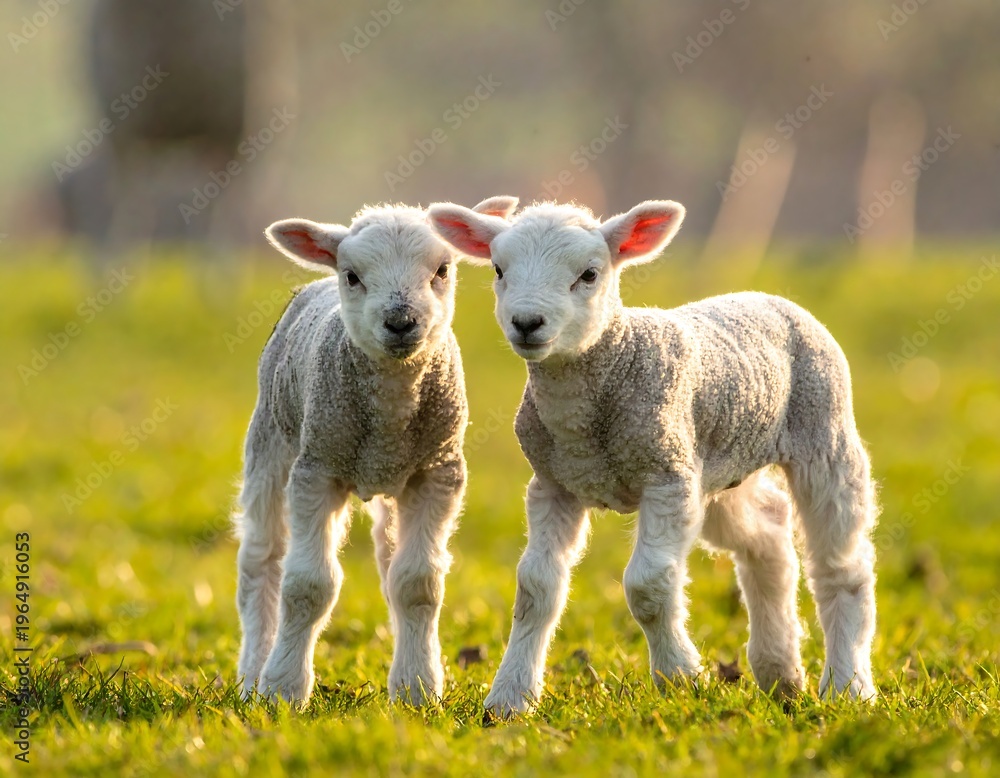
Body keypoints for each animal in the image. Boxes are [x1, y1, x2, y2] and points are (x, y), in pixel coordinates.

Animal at [234, 196, 519, 705]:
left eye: (443, 269)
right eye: (352, 276)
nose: (401, 322)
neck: (390, 408)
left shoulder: (437, 471)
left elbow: (417, 583)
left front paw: (417, 688)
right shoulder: (317, 469)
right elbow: (307, 584)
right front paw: (283, 689)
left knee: (390, 565)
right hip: (272, 437)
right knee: (262, 559)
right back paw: (252, 675)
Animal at [428, 198, 879, 717]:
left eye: (589, 274)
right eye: (499, 270)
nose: (527, 322)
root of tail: (769, 297)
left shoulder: (666, 477)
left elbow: (647, 585)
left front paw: (681, 676)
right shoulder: (555, 483)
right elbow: (536, 589)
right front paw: (509, 698)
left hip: (822, 430)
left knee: (841, 565)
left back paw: (848, 685)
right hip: (719, 465)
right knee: (768, 533)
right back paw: (779, 674)